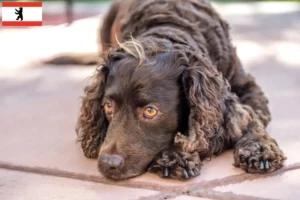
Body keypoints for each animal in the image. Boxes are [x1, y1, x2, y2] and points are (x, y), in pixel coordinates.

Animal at [46, 0, 286, 180]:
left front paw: (259, 149)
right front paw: (175, 156)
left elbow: (251, 118)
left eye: (150, 111)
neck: (170, 27)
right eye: (108, 106)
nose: (107, 164)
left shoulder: (248, 89)